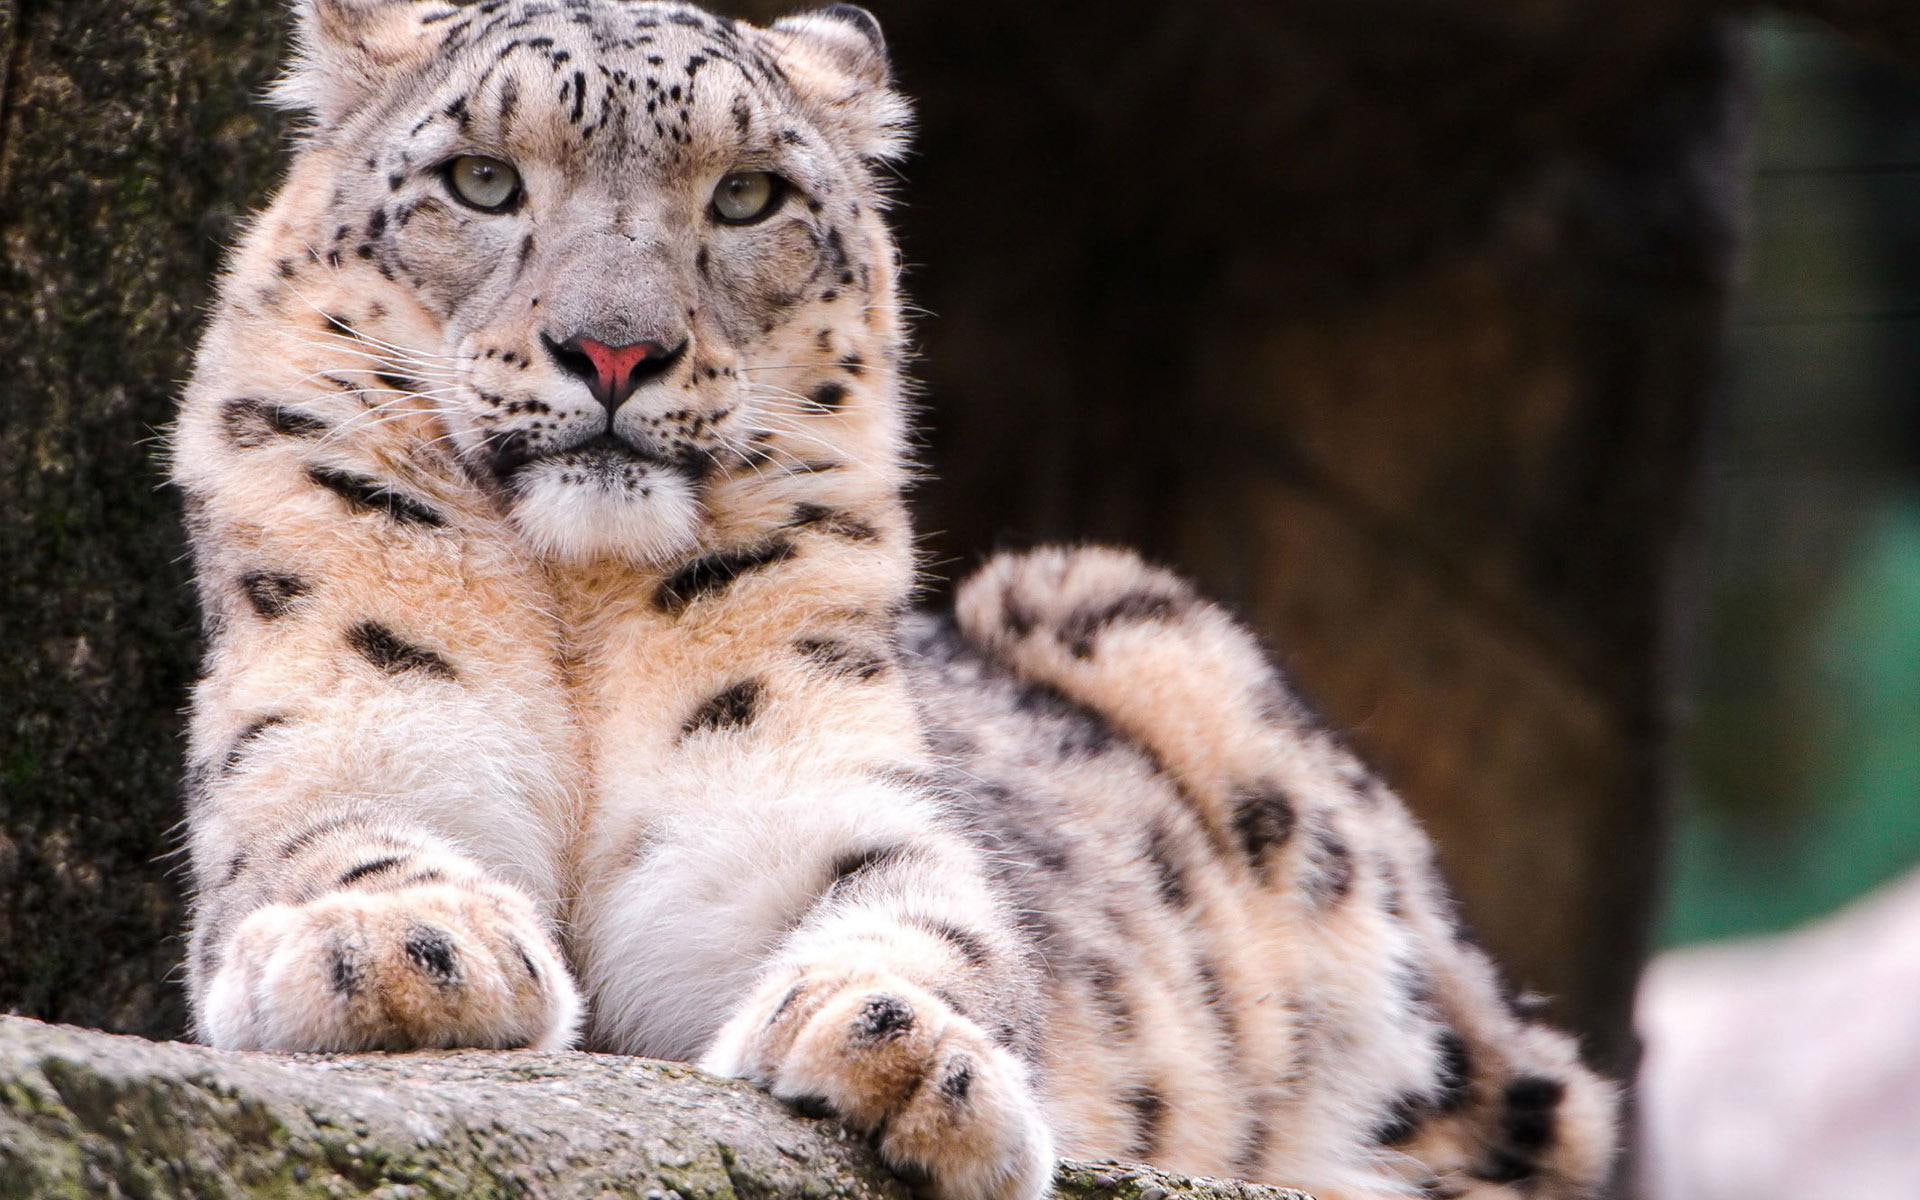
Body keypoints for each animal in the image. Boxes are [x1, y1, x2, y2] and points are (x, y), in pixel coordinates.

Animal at [169, 3, 1618, 1199]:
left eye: (747, 194)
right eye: (480, 177)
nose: (616, 350)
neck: (580, 614)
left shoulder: (828, 812)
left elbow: (923, 920)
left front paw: (902, 1049)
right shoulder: (333, 739)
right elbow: (333, 837)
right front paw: (394, 952)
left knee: (1547, 1108)